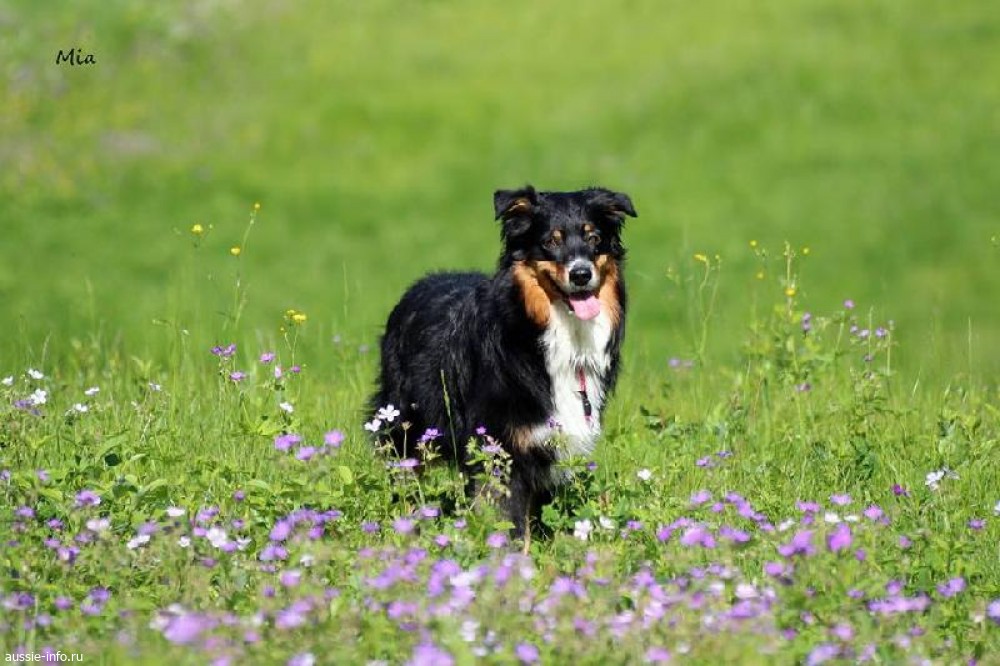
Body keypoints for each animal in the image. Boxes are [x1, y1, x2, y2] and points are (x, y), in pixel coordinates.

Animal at [370, 185, 636, 538]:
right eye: (551, 241)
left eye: (594, 238)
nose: (581, 274)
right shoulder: (499, 446)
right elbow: (509, 522)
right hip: (406, 425)